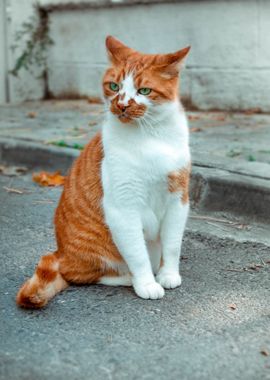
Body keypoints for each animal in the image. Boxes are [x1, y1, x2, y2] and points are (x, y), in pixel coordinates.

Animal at [16, 36, 191, 308]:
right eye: (113, 86)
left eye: (144, 91)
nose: (121, 105)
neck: (151, 136)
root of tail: (60, 253)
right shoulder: (123, 208)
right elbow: (137, 254)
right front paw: (146, 283)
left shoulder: (178, 199)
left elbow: (172, 245)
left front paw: (169, 274)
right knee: (83, 274)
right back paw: (129, 278)